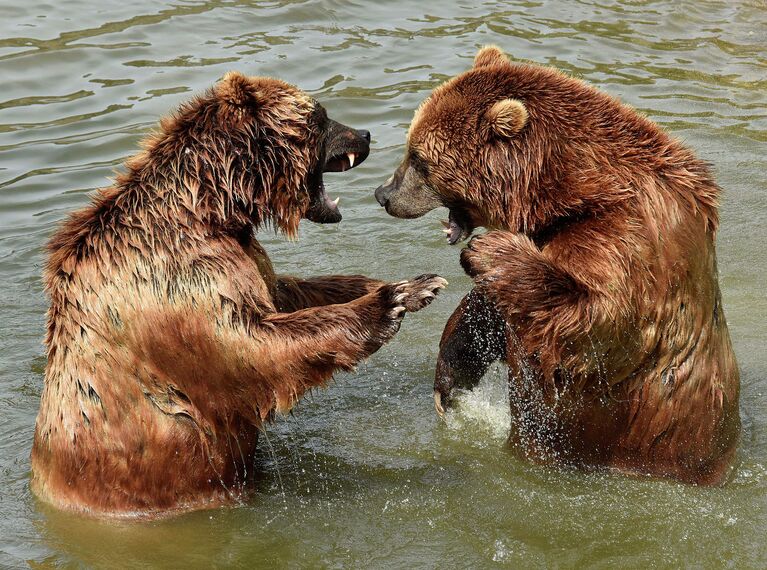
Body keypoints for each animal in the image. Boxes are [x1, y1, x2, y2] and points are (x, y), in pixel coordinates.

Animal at [31, 71, 450, 516]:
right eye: (319, 116)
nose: (365, 134)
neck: (213, 209)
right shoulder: (178, 277)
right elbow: (250, 344)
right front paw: (398, 297)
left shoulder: (244, 255)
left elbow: (282, 294)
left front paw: (386, 283)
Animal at [376, 46, 740, 486]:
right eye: (411, 149)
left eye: (418, 158)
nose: (383, 194)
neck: (569, 193)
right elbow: (492, 311)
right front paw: (449, 381)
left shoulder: (624, 238)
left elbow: (589, 325)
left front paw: (489, 249)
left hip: (670, 441)